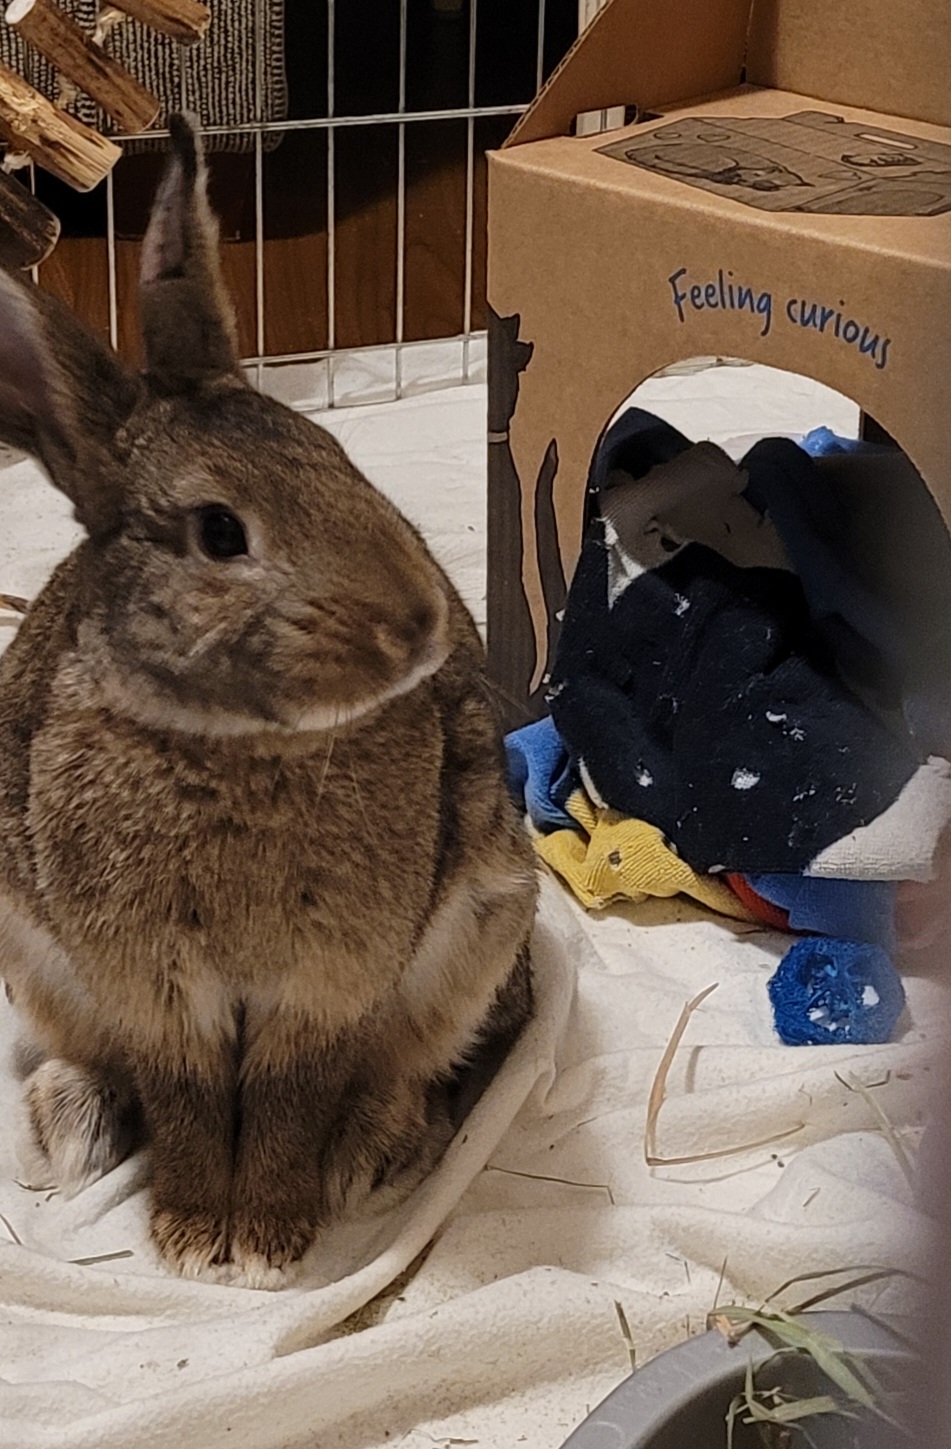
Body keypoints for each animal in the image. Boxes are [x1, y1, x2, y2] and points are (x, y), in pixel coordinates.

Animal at [0, 115, 537, 1287]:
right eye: (218, 533)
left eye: (339, 461)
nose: (419, 625)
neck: (229, 747)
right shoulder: (158, 993)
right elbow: (192, 1101)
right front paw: (198, 1236)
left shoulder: (324, 986)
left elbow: (291, 1097)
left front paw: (266, 1241)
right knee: (96, 1064)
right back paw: (72, 1130)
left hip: (476, 940)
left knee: (407, 1069)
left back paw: (371, 1156)